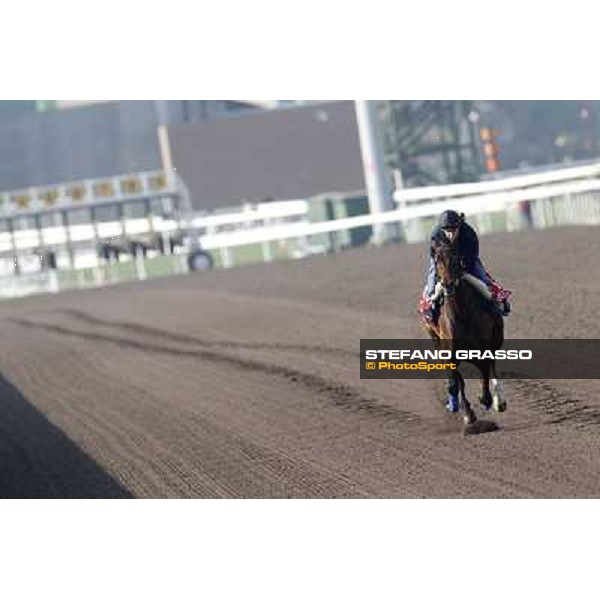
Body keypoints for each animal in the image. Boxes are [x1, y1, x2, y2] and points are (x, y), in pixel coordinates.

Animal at [426, 239, 506, 426]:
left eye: (456, 259)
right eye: (437, 260)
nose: (447, 284)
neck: (462, 314)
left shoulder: (483, 348)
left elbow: (484, 371)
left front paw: (486, 399)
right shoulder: (450, 352)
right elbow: (457, 382)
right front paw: (467, 412)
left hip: (496, 338)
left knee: (491, 366)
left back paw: (499, 401)